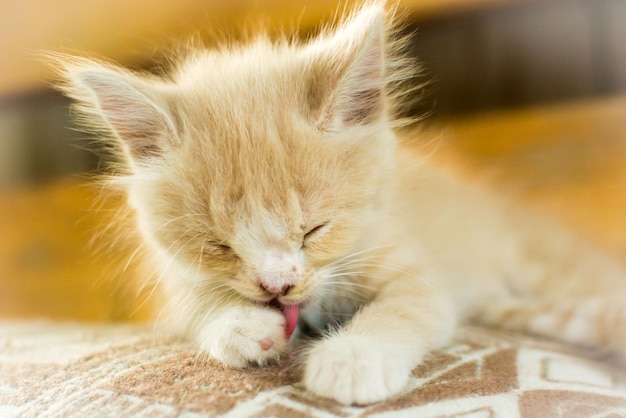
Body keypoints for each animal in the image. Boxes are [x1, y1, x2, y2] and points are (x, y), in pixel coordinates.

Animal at [53, 0, 624, 404]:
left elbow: (404, 309)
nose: (277, 287)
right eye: (219, 246)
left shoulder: (411, 266)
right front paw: (238, 325)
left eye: (315, 229)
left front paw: (353, 357)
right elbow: (197, 303)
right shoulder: (173, 279)